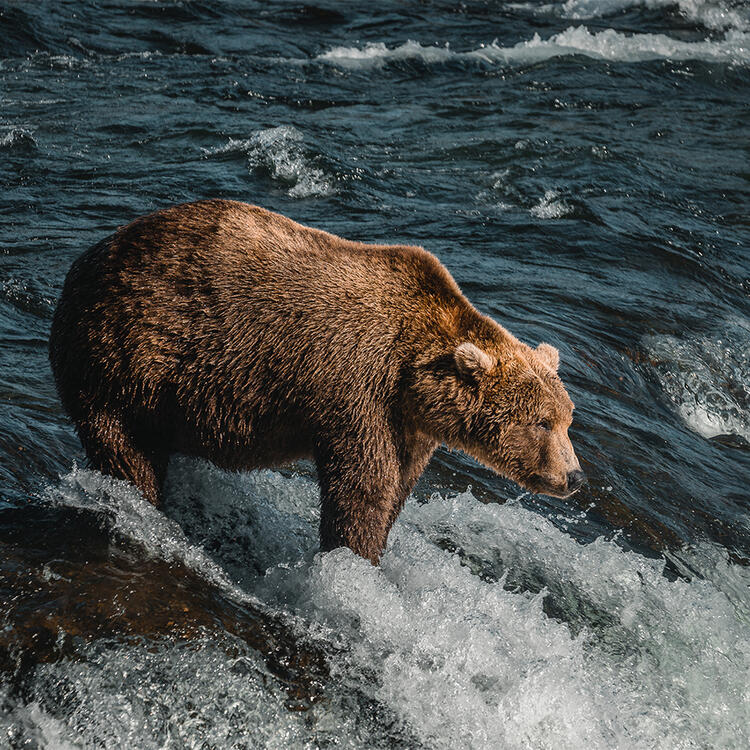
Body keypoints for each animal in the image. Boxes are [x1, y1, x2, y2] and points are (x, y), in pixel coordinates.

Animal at [48, 200, 588, 564]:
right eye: (541, 423)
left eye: (567, 420)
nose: (575, 477)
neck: (412, 379)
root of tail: (90, 256)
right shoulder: (357, 389)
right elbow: (362, 486)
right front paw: (353, 557)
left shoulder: (410, 428)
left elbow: (396, 488)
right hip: (122, 356)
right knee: (125, 449)